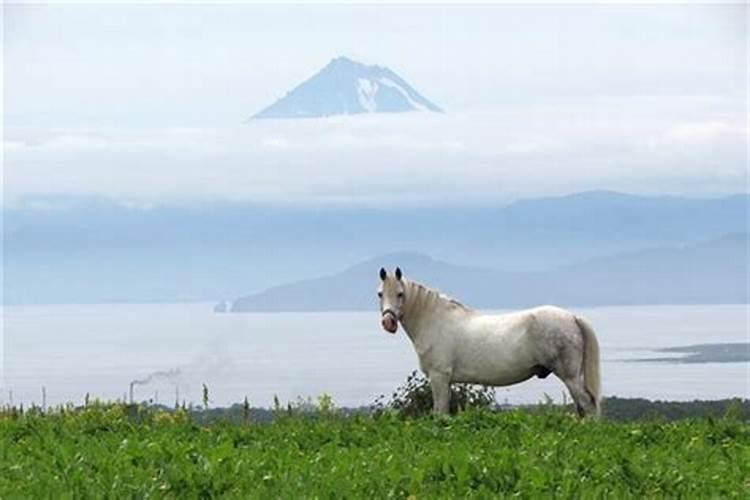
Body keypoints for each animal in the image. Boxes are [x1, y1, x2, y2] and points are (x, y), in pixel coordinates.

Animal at [378, 268, 604, 416]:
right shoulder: (446, 381)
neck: (435, 320)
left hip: (570, 376)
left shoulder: (439, 377)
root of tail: (572, 317)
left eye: (400, 294)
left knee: (588, 405)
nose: (388, 322)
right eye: (380, 294)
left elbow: (439, 412)